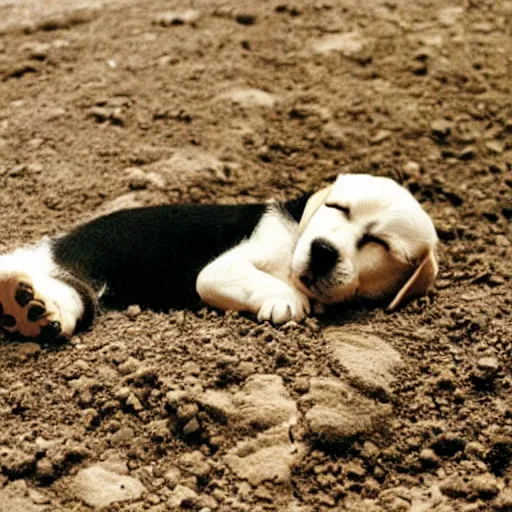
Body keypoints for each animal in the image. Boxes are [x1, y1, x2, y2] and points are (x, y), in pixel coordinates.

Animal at [0, 174, 436, 342]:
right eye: (337, 207)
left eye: (379, 243)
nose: (324, 251)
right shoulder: (222, 270)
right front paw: (288, 300)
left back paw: (25, 310)